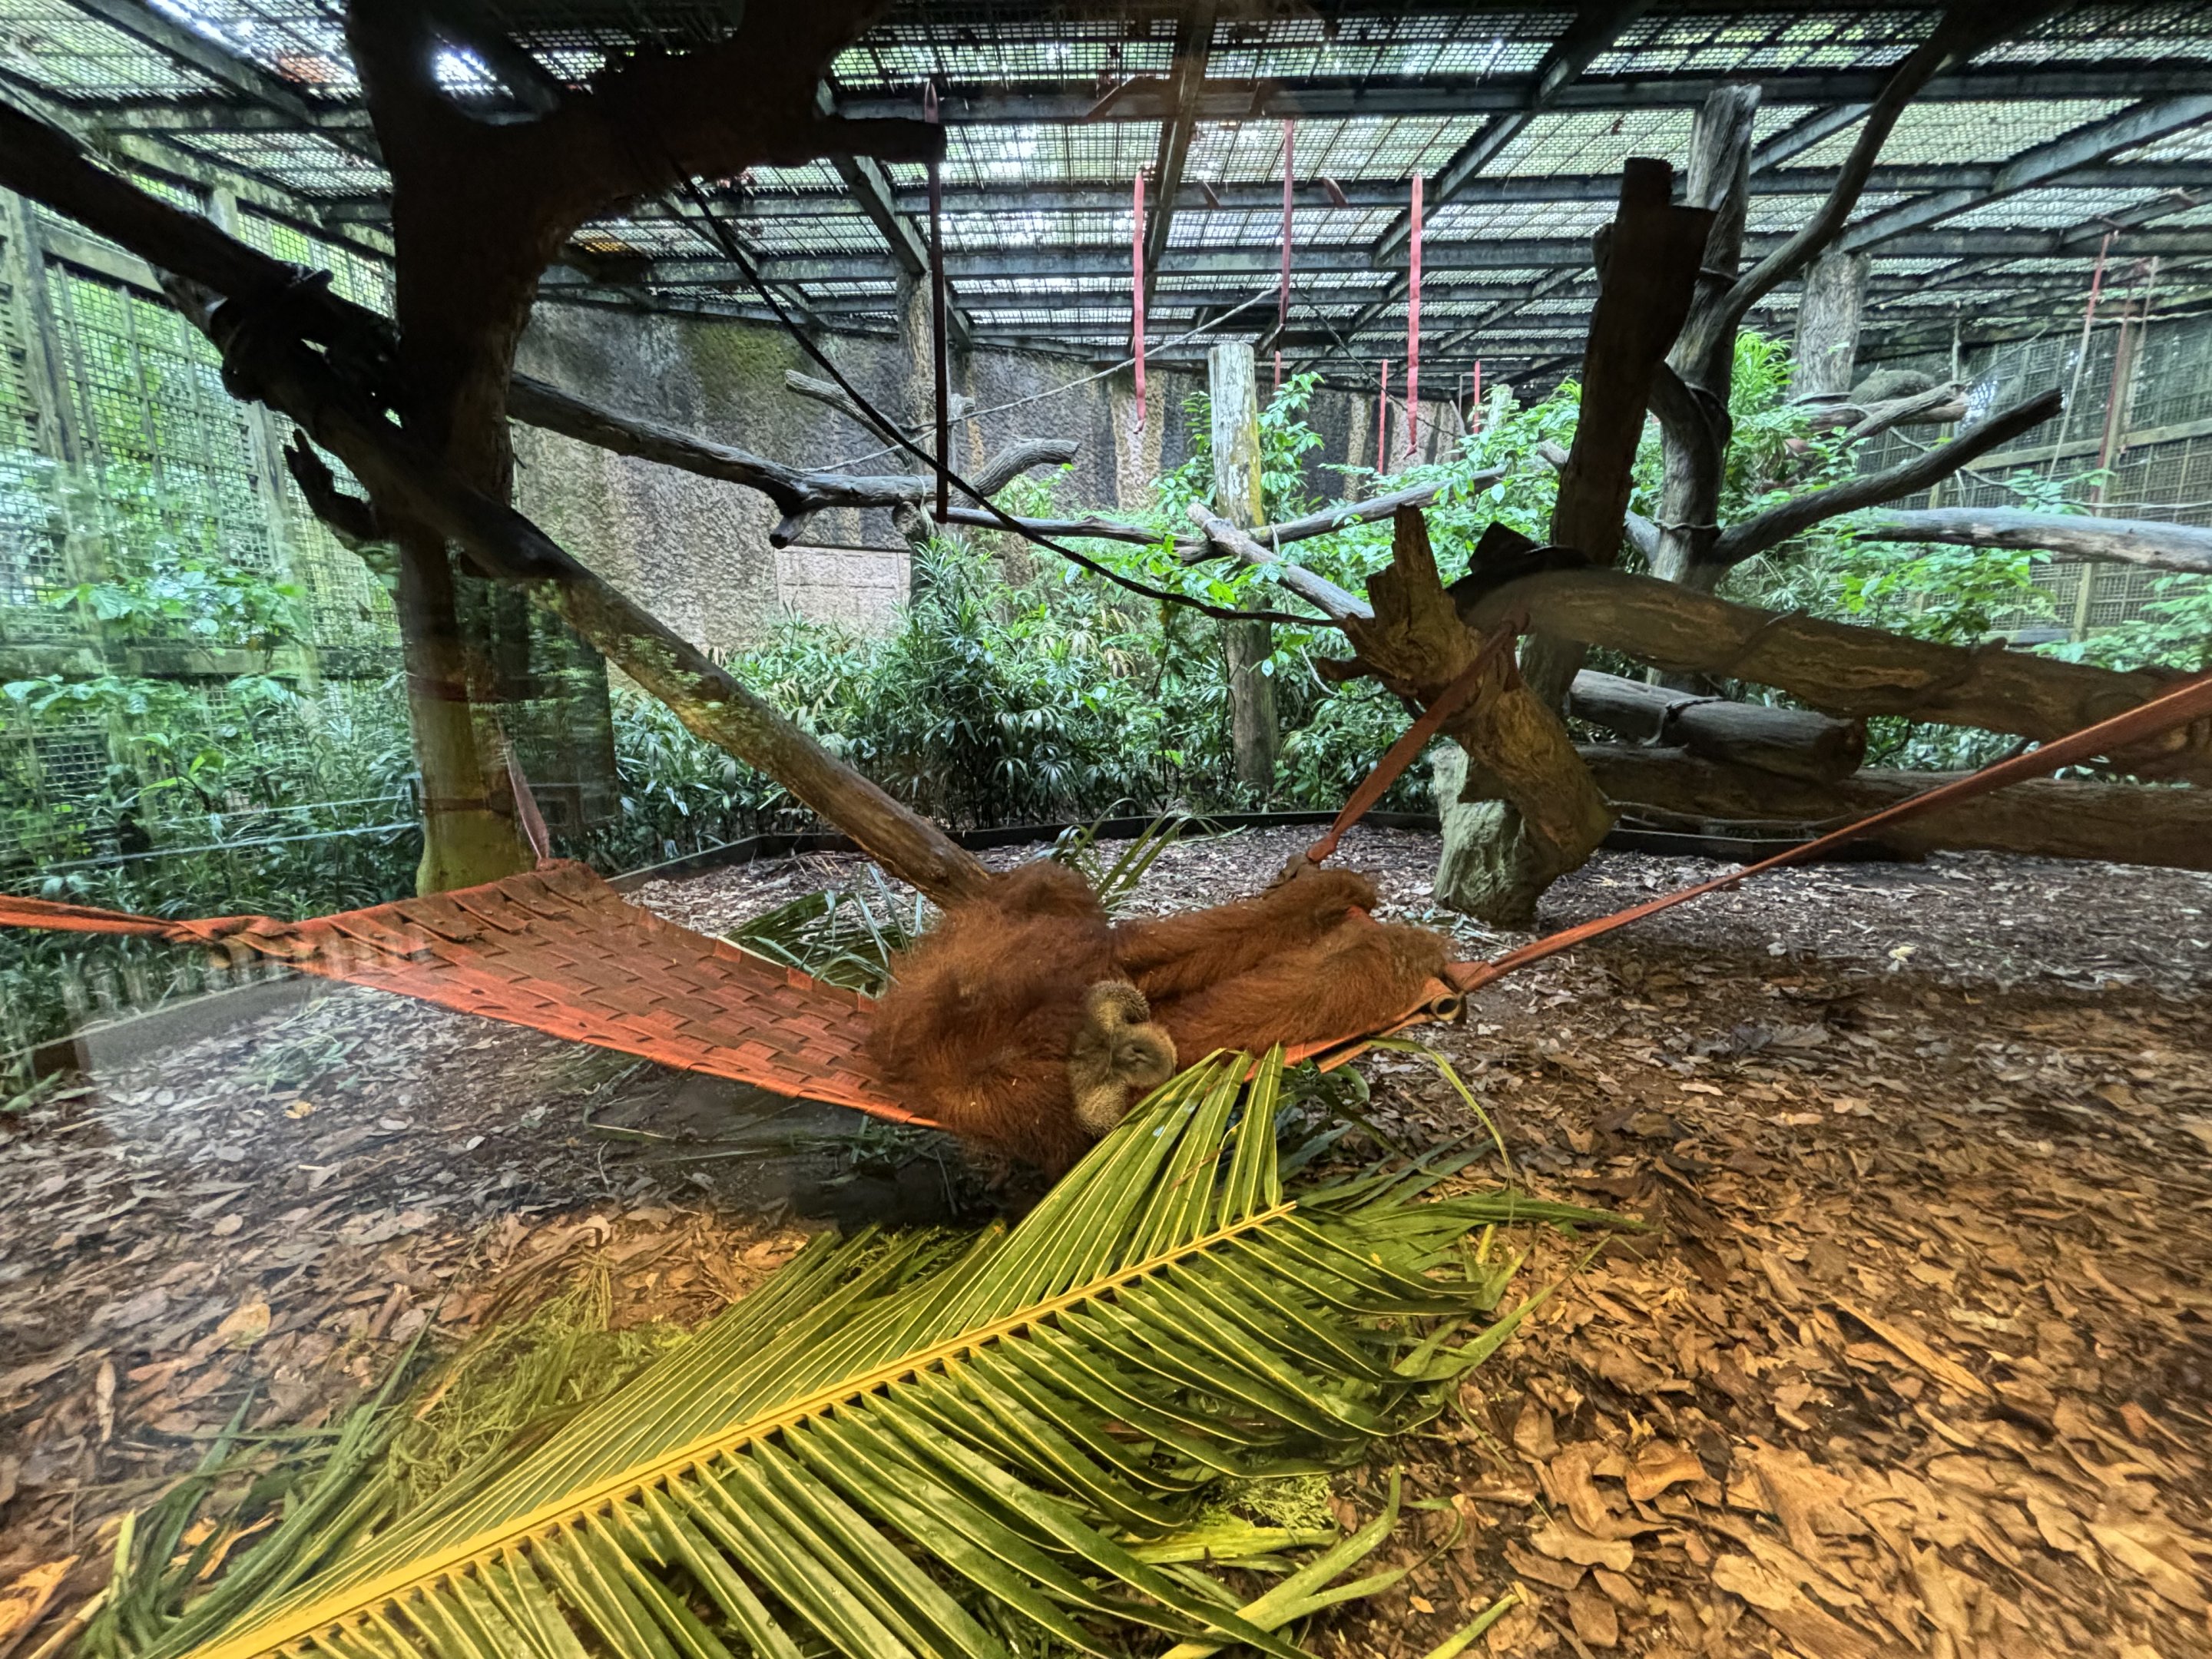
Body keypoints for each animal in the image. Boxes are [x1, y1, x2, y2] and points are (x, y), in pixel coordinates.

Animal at [865, 857, 1454, 1175]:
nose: (1133, 1052)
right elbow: (1229, 1019)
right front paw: (1400, 950)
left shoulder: (1069, 972)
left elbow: (1171, 952)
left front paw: (1336, 894)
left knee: (1054, 885)